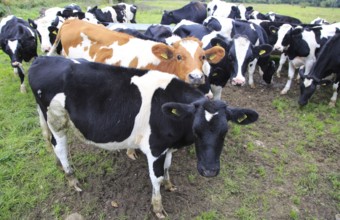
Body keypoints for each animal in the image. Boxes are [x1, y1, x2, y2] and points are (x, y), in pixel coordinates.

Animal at [28, 55, 258, 218]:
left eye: (225, 131)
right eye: (196, 131)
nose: (209, 171)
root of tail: (43, 58)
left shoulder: (167, 145)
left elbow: (168, 167)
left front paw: (169, 185)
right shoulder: (155, 147)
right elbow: (156, 177)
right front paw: (158, 208)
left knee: (50, 142)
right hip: (57, 120)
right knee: (60, 146)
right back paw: (72, 179)